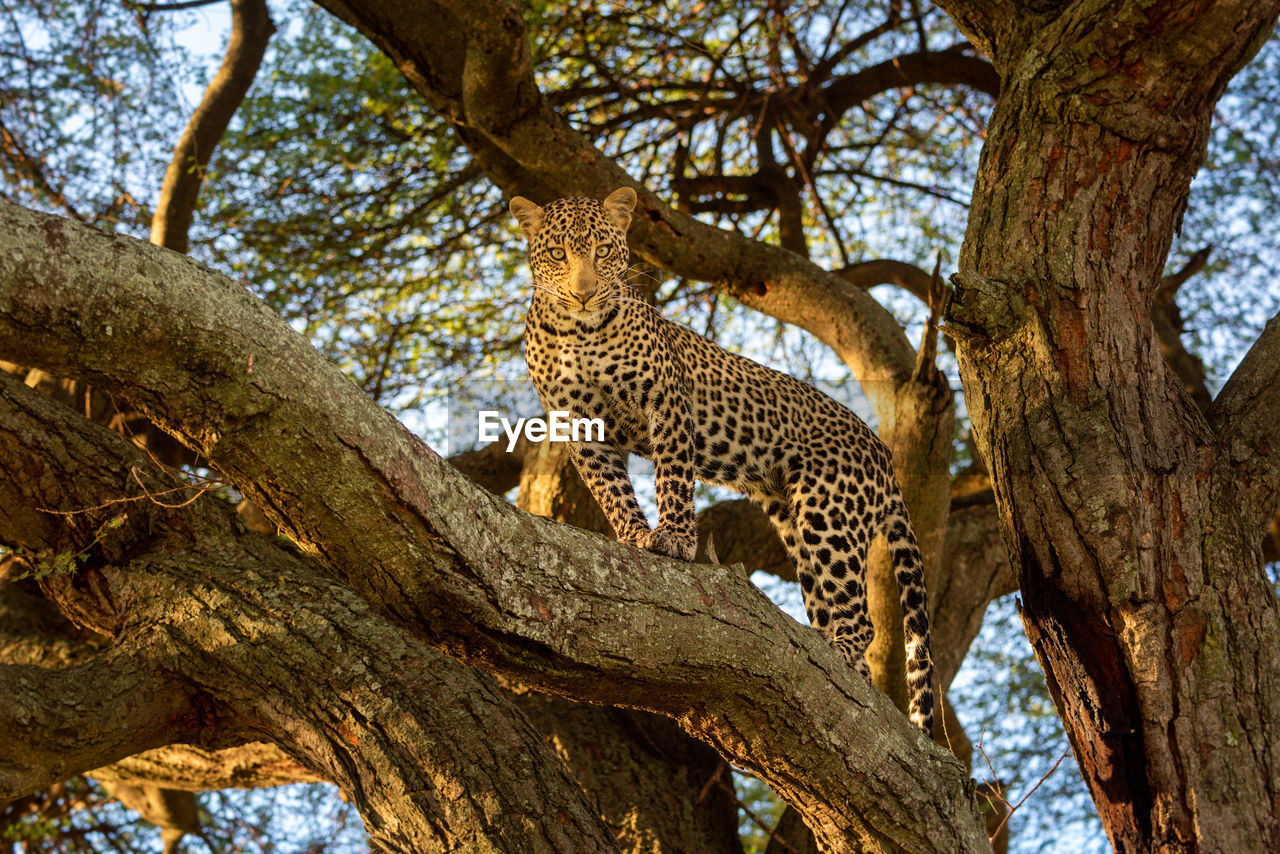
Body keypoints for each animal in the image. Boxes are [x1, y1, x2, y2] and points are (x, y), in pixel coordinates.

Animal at [509, 186, 942, 737]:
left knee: (861, 621)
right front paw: (634, 536)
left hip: (831, 512)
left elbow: (673, 477)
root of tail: (885, 457)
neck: (577, 331)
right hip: (799, 527)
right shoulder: (579, 426)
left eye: (602, 251)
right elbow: (612, 491)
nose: (584, 293)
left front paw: (673, 539)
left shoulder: (668, 402)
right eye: (557, 254)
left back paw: (837, 649)